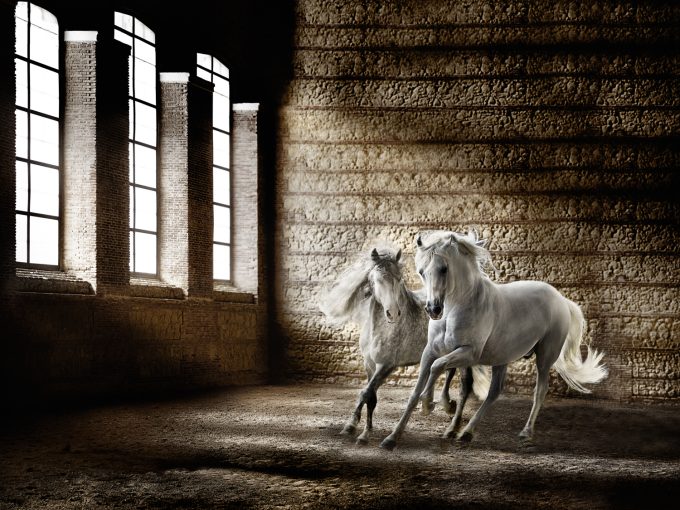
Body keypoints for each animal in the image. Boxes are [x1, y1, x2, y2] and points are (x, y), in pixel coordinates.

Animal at [319, 242, 490, 445]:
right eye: (377, 279)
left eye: (399, 279)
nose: (393, 313)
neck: (381, 328)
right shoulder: (370, 365)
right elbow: (370, 396)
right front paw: (356, 428)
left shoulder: (387, 365)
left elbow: (367, 393)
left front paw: (359, 432)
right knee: (449, 371)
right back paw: (445, 404)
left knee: (465, 386)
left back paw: (452, 428)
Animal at [380, 230, 608, 450]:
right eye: (421, 272)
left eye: (444, 269)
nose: (433, 310)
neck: (457, 308)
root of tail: (561, 298)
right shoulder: (431, 352)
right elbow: (417, 391)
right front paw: (392, 438)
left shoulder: (469, 353)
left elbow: (438, 367)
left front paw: (430, 405)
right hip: (502, 359)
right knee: (494, 392)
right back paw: (465, 433)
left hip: (545, 356)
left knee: (540, 390)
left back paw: (525, 433)